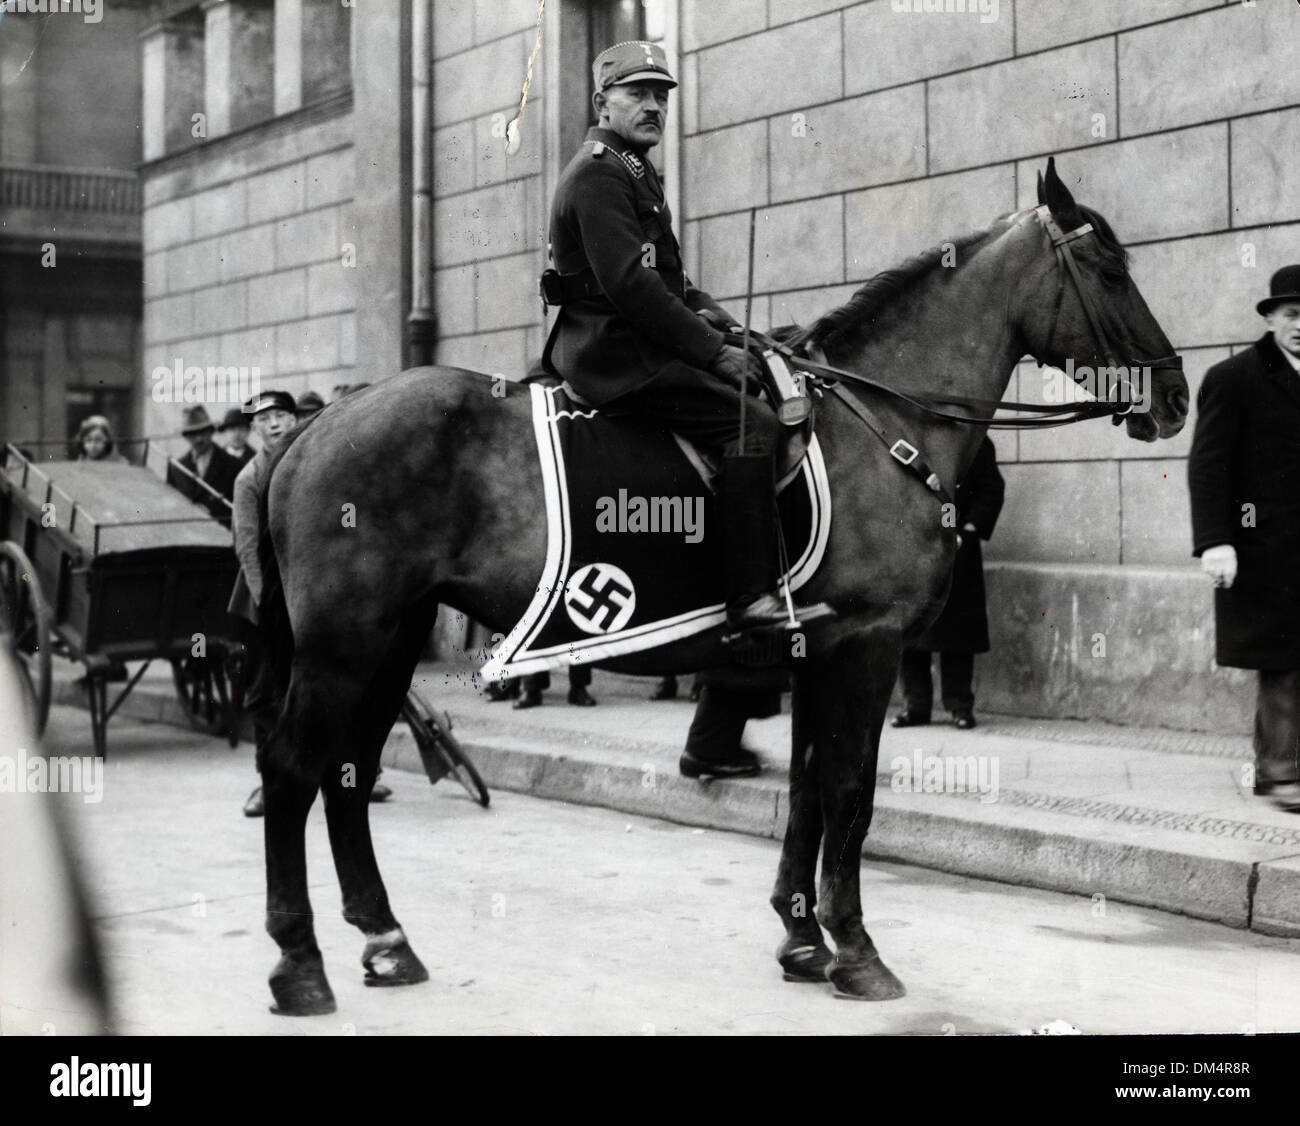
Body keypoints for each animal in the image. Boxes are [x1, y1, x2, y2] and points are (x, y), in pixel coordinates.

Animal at [250, 162, 1190, 1014]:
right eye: (1111, 269)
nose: (1177, 395)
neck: (882, 422)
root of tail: (313, 425)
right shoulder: (867, 645)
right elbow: (851, 793)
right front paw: (856, 952)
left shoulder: (817, 650)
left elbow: (809, 790)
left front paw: (803, 938)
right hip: (345, 645)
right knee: (294, 770)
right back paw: (299, 965)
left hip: (393, 638)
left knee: (347, 773)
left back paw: (385, 941)